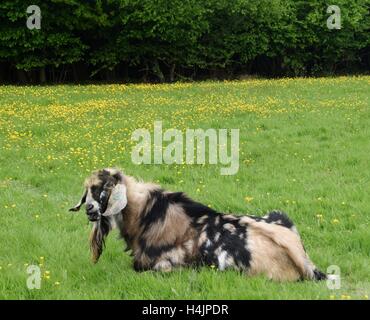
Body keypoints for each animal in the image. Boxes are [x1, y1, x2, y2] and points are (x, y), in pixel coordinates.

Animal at [68, 169, 324, 282]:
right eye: (88, 190)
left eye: (103, 189)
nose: (89, 209)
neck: (145, 215)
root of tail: (305, 264)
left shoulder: (163, 264)